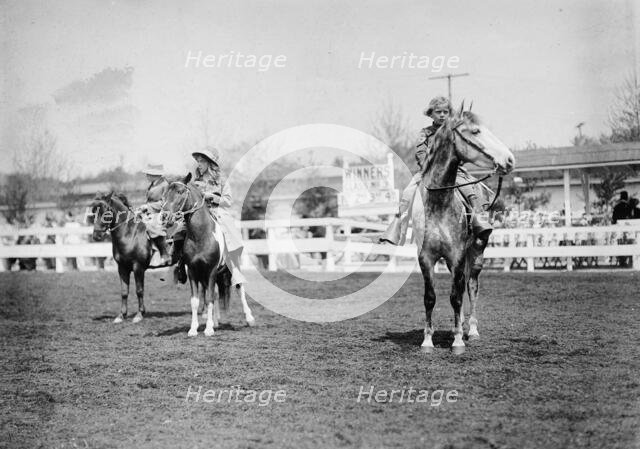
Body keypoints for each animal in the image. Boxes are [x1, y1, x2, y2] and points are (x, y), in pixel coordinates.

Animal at [89, 192, 156, 323]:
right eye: (94, 212)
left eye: (106, 212)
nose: (96, 236)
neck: (130, 235)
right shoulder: (122, 268)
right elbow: (124, 292)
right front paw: (121, 315)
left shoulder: (138, 267)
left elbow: (139, 290)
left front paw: (139, 314)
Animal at [161, 173, 255, 337]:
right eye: (165, 194)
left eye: (180, 192)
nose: (165, 216)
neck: (201, 235)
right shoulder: (193, 272)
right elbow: (196, 301)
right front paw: (194, 329)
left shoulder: (211, 270)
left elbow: (210, 297)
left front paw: (209, 329)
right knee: (216, 294)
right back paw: (216, 322)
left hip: (233, 267)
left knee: (239, 287)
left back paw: (249, 318)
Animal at [412, 105, 515, 354]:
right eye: (476, 131)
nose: (509, 159)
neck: (439, 205)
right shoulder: (426, 258)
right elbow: (430, 298)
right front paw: (427, 341)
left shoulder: (457, 256)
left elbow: (456, 297)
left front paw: (459, 341)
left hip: (476, 254)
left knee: (471, 287)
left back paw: (472, 330)